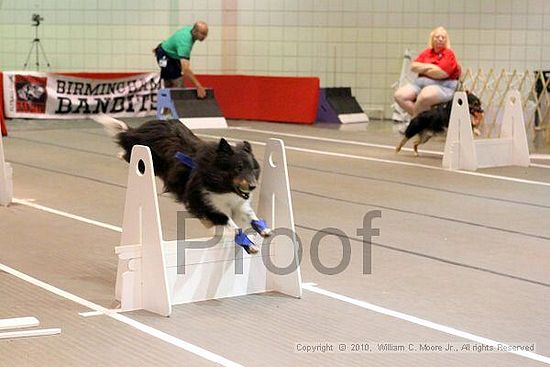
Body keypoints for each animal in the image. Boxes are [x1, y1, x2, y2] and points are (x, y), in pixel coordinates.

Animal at [98, 116, 274, 254]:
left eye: (253, 168)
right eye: (238, 168)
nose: (253, 186)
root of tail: (146, 126)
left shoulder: (239, 205)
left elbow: (252, 216)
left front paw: (264, 229)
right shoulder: (205, 203)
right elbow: (232, 225)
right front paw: (249, 245)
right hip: (144, 161)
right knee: (126, 146)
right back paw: (120, 152)